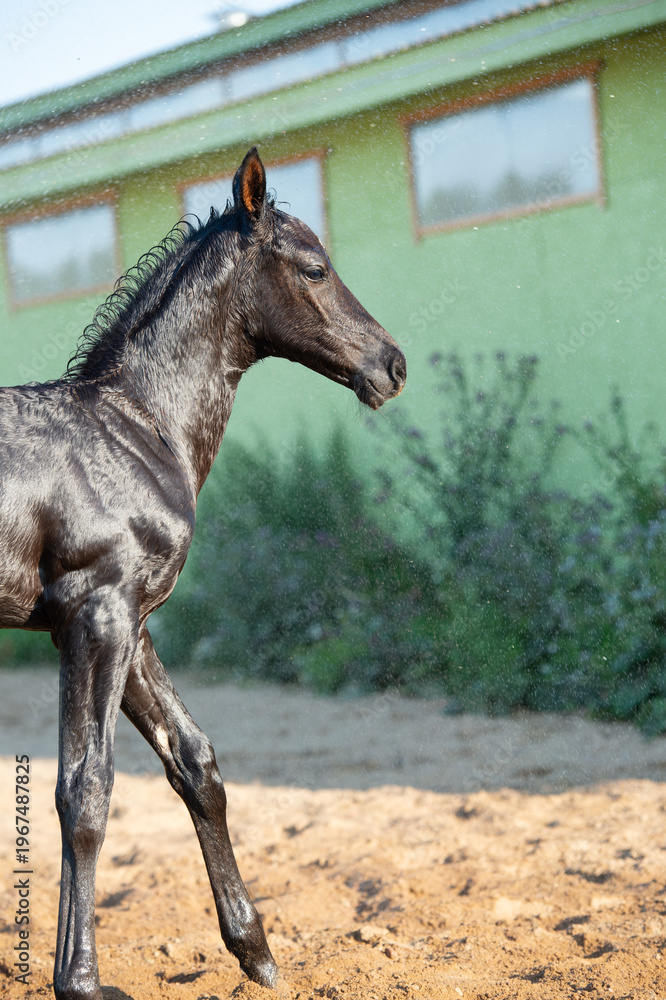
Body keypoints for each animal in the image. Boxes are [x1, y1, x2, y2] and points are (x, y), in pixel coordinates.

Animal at [0, 147, 406, 997]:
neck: (134, 428)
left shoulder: (131, 624)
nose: (393, 365)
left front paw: (256, 950)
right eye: (315, 268)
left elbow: (196, 762)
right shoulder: (98, 615)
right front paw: (80, 980)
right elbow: (85, 788)